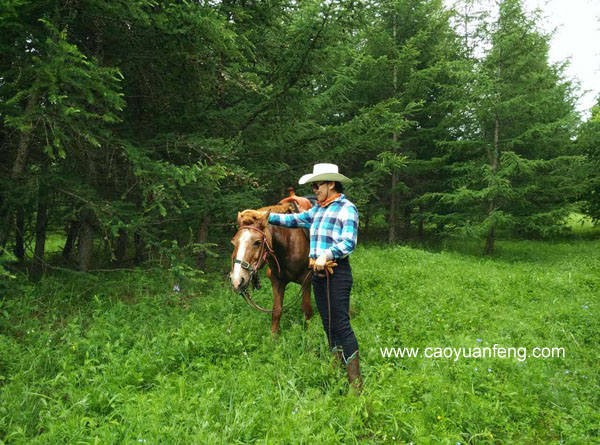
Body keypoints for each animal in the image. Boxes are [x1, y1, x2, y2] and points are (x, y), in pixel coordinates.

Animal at [230, 201, 314, 332]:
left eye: (257, 242)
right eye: (233, 242)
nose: (237, 281)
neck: (289, 244)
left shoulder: (306, 280)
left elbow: (307, 309)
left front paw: (308, 333)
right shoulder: (277, 281)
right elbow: (277, 311)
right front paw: (274, 335)